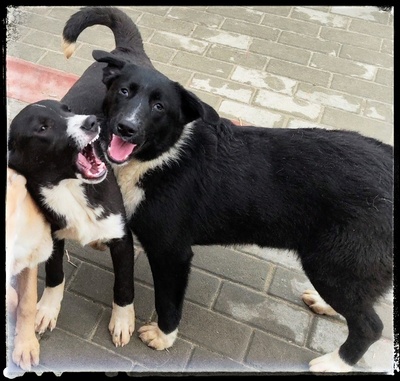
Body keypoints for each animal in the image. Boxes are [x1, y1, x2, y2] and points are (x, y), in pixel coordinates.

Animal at [63, 7, 394, 372]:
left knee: (370, 325)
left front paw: (163, 337)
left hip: (332, 263)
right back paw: (327, 306)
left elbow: (168, 302)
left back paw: (335, 362)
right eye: (124, 91)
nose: (126, 128)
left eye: (160, 107)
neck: (162, 156)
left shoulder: (172, 253)